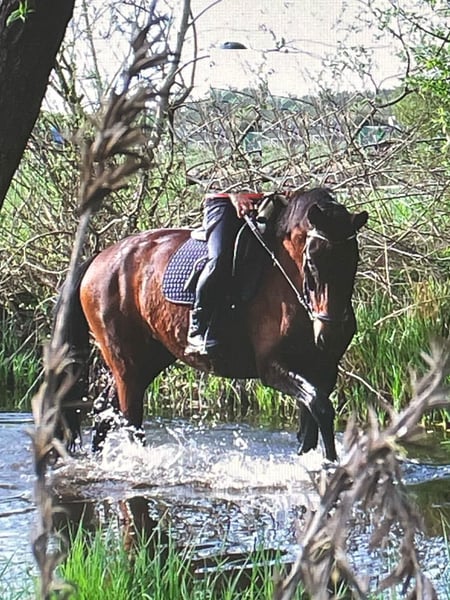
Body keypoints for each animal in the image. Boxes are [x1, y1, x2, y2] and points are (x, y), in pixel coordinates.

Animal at [58, 187, 368, 462]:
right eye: (312, 262)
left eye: (352, 259)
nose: (331, 334)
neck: (288, 278)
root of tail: (100, 258)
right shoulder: (273, 368)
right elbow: (321, 408)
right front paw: (331, 464)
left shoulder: (321, 369)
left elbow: (311, 423)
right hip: (126, 362)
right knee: (130, 420)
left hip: (149, 358)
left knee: (104, 409)